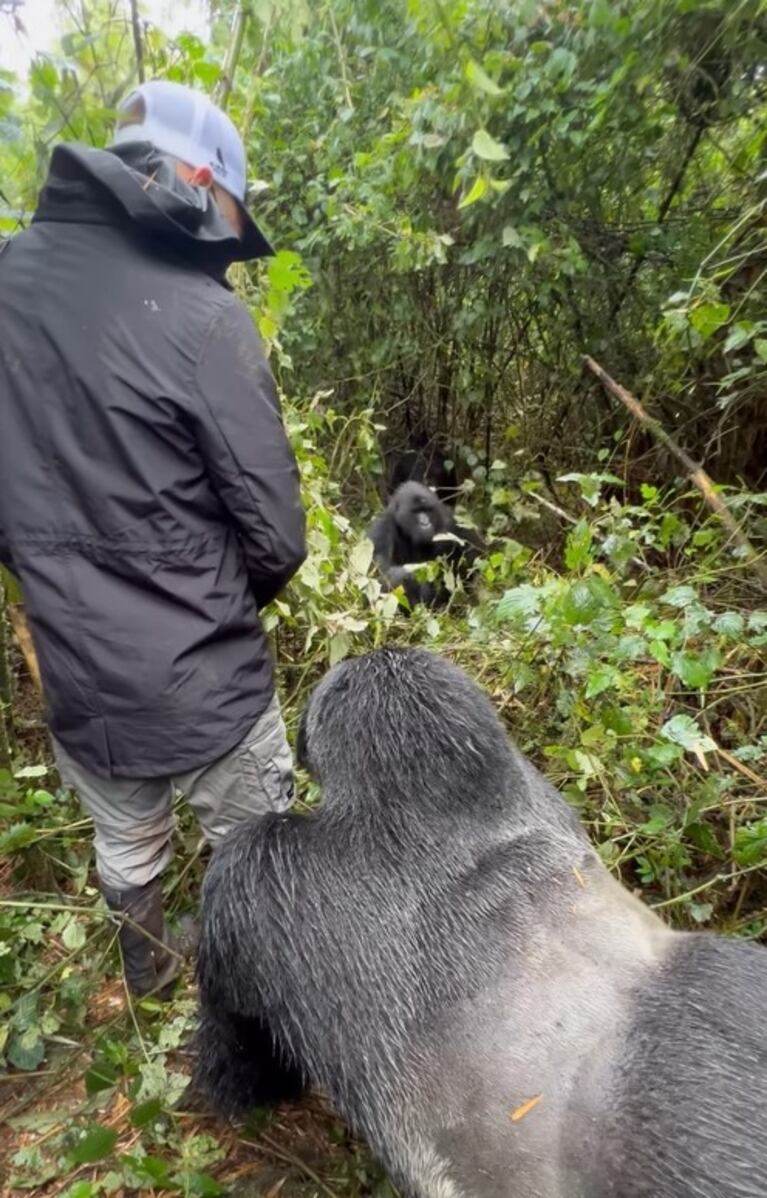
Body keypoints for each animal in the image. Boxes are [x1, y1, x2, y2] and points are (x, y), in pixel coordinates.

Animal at [366, 479, 484, 608]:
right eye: (416, 511)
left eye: (427, 510)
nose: (425, 523)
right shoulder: (381, 531)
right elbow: (380, 575)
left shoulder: (453, 521)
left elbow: (475, 555)